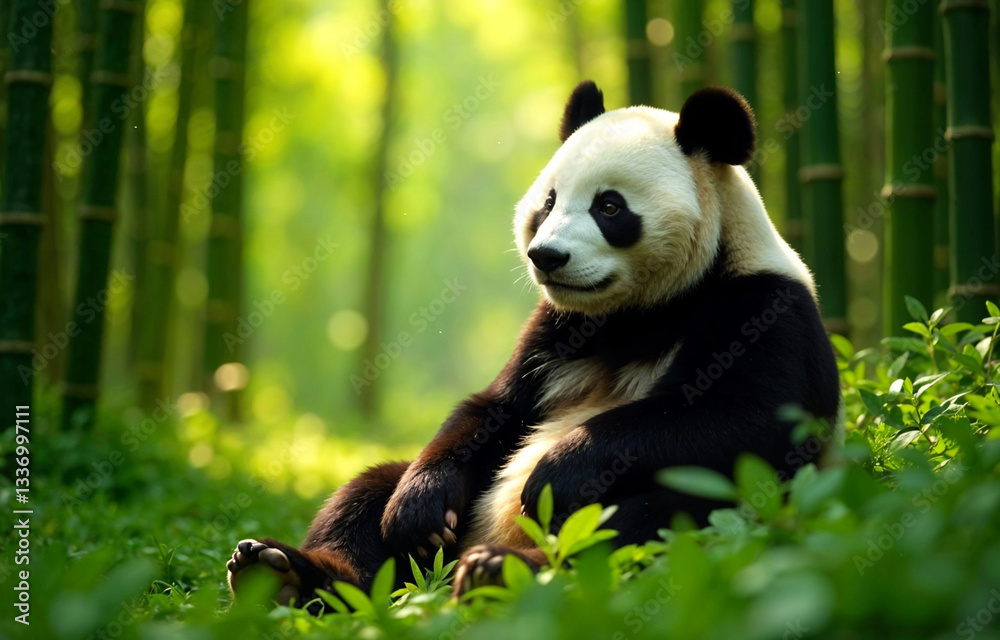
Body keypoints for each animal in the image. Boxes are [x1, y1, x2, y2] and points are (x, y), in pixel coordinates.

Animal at [226, 81, 841, 608]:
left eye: (609, 206)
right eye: (548, 201)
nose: (546, 256)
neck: (644, 310)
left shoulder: (762, 310)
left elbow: (745, 420)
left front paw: (556, 471)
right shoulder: (556, 328)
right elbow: (493, 409)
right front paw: (421, 508)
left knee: (658, 518)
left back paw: (502, 570)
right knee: (365, 495)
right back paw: (289, 574)